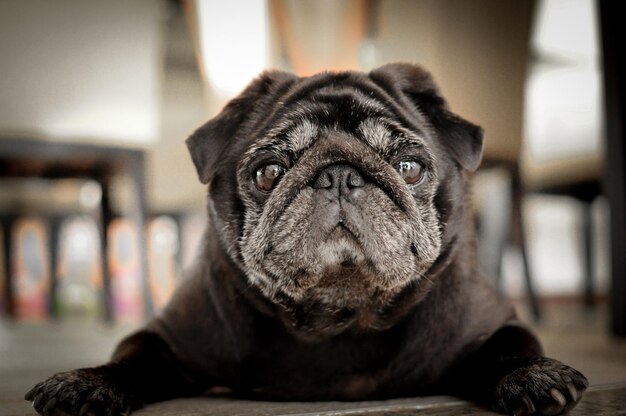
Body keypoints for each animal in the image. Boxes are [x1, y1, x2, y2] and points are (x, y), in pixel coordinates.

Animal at [26, 62, 584, 416]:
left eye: (408, 166)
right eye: (269, 172)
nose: (338, 175)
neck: (335, 322)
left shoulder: (494, 324)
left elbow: (509, 348)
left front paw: (534, 376)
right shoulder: (166, 337)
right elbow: (132, 358)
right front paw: (87, 383)